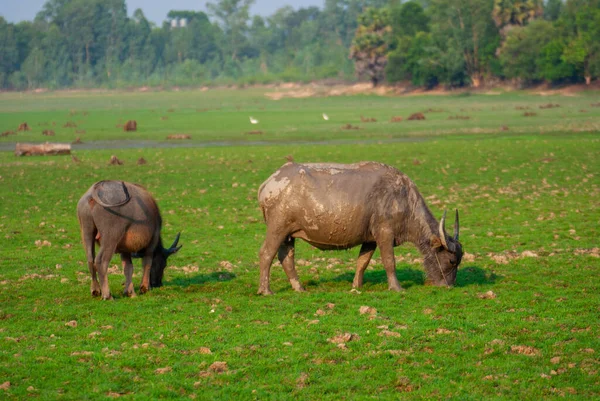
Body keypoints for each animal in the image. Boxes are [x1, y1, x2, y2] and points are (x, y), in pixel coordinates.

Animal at [258, 161, 464, 296]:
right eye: (452, 261)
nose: (449, 285)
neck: (404, 199)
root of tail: (267, 184)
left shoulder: (370, 239)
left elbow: (362, 262)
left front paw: (357, 286)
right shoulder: (384, 234)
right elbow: (389, 261)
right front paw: (396, 287)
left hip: (288, 234)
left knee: (286, 257)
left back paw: (299, 288)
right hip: (278, 228)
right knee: (266, 254)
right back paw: (265, 290)